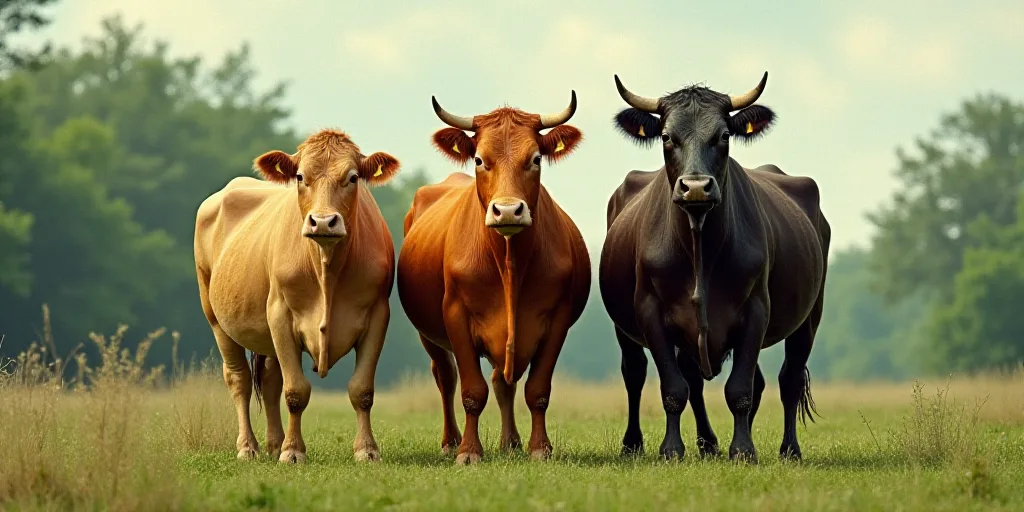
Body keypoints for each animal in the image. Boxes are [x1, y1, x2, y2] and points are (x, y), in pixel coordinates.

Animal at [194, 128, 400, 464]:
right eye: (301, 176)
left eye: (353, 177)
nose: (323, 221)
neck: (326, 266)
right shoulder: (280, 314)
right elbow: (295, 392)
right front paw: (292, 452)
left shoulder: (378, 315)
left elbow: (362, 390)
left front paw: (367, 450)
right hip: (216, 318)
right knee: (239, 379)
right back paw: (248, 446)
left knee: (269, 380)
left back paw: (273, 443)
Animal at [397, 93, 591, 465]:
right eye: (479, 159)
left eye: (535, 159)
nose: (508, 211)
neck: (509, 261)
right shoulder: (455, 315)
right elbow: (472, 391)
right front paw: (469, 451)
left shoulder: (557, 317)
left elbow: (536, 389)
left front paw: (539, 448)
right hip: (428, 334)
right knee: (445, 377)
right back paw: (450, 441)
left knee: (504, 382)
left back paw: (510, 442)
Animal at [599, 72, 830, 463]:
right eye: (666, 136)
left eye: (723, 136)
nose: (695, 187)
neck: (700, 246)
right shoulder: (650, 310)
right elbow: (674, 387)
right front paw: (671, 449)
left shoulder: (756, 309)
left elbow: (740, 389)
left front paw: (743, 450)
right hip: (627, 328)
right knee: (639, 373)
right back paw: (647, 444)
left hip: (810, 315)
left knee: (789, 379)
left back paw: (788, 449)